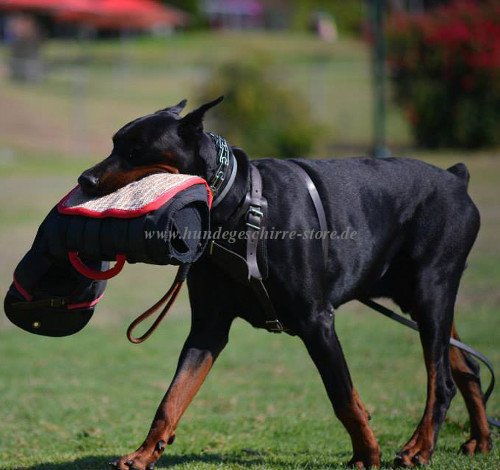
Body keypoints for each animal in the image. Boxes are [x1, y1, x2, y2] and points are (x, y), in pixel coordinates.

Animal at [79, 97, 492, 468]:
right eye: (115, 144)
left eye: (136, 150)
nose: (85, 179)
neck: (237, 205)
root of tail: (457, 178)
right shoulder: (209, 326)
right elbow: (172, 397)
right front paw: (144, 453)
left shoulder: (317, 321)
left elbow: (343, 396)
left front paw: (366, 454)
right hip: (420, 300)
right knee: (467, 368)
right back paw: (480, 440)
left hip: (431, 290)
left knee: (442, 381)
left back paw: (419, 447)